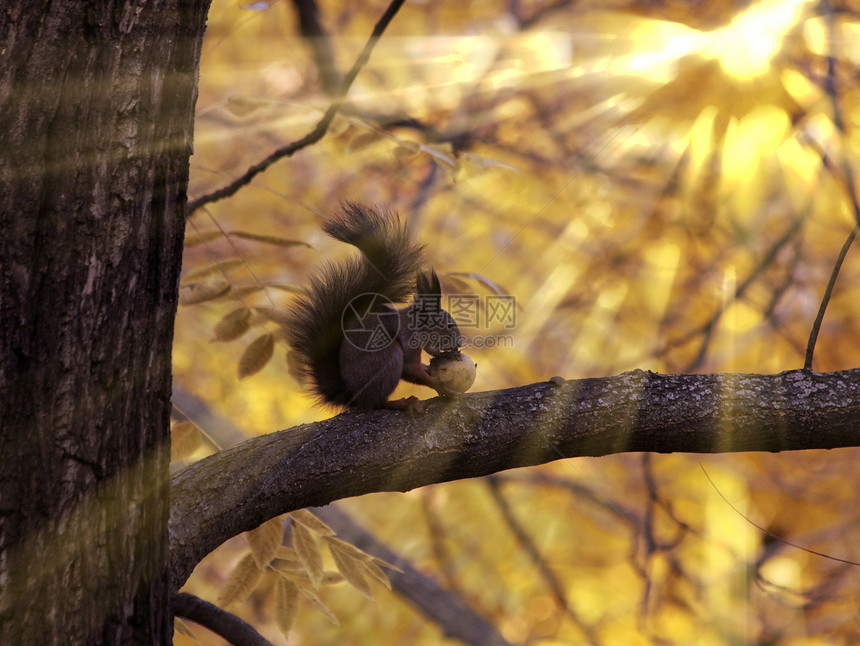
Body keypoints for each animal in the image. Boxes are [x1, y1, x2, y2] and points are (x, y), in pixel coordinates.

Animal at [286, 202, 464, 410]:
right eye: (449, 325)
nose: (460, 344)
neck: (417, 324)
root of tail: (351, 396)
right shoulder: (408, 338)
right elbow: (410, 369)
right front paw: (441, 386)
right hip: (388, 357)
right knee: (374, 402)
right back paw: (402, 403)